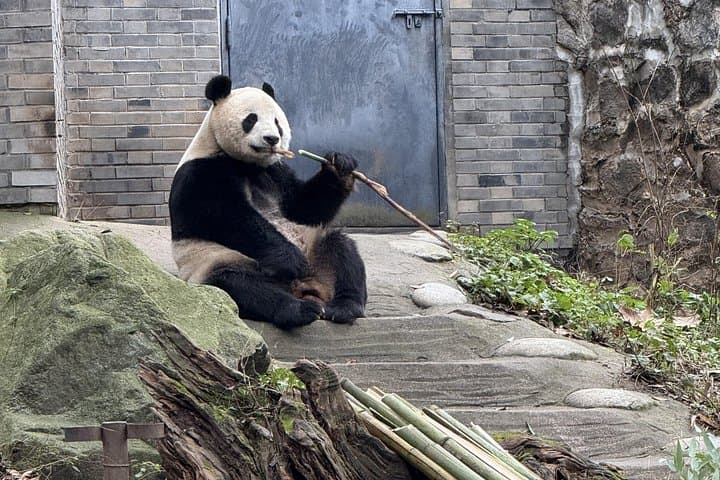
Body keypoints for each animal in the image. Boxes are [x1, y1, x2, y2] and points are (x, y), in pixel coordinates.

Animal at [169, 75, 367, 330]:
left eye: (277, 122)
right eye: (251, 119)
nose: (272, 139)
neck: (247, 164)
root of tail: (302, 288)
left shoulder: (275, 171)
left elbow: (304, 207)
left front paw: (339, 165)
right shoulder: (202, 171)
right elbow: (228, 217)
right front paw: (290, 260)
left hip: (315, 252)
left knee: (340, 248)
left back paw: (343, 307)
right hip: (214, 262)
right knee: (240, 285)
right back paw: (298, 309)